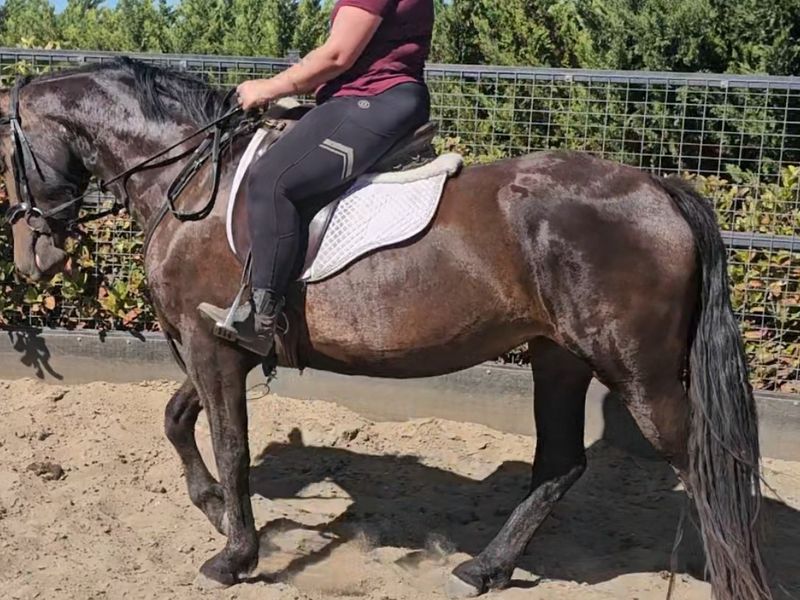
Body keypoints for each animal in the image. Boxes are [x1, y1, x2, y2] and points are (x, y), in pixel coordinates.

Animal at [0, 58, 771, 600]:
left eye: (9, 157)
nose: (33, 257)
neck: (191, 182)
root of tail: (658, 188)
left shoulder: (211, 347)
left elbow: (229, 444)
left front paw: (234, 555)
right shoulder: (214, 345)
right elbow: (174, 419)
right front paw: (216, 509)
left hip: (636, 369)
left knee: (707, 467)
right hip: (559, 356)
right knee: (560, 465)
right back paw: (483, 570)